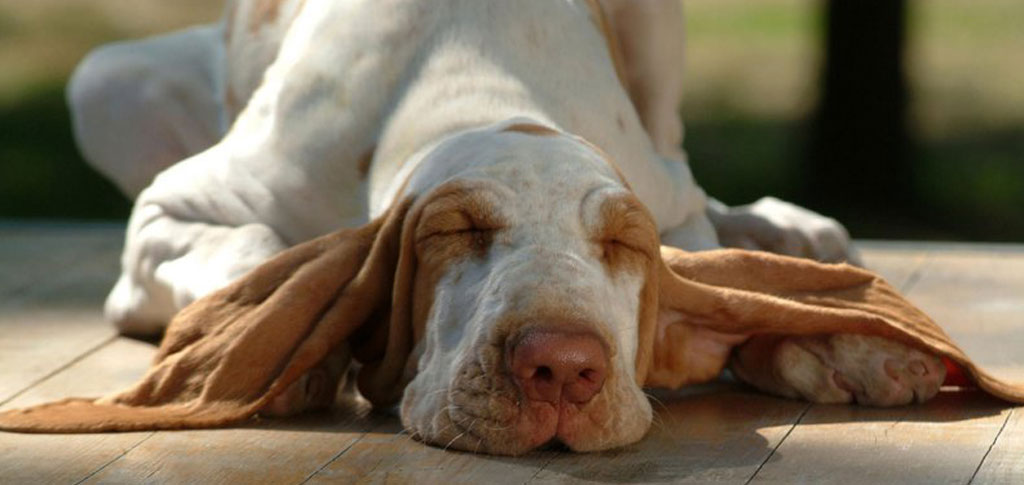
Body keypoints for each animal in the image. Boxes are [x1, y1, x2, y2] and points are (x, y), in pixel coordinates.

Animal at [66, 0, 942, 454]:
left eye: (620, 244)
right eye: (453, 234)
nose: (563, 368)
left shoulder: (668, 212)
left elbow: (722, 287)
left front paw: (836, 346)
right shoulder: (177, 204)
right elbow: (254, 246)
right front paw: (288, 353)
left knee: (685, 153)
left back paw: (788, 232)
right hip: (103, 82)